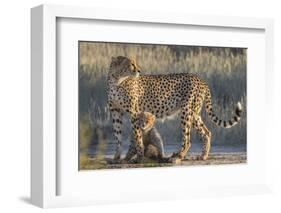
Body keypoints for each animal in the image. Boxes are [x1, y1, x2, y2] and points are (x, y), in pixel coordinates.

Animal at [106, 55, 242, 162]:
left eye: (135, 63)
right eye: (131, 64)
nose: (139, 70)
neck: (116, 80)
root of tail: (199, 78)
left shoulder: (134, 112)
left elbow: (137, 135)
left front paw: (138, 156)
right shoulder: (115, 111)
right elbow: (117, 135)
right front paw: (117, 157)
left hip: (186, 111)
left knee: (187, 138)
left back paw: (178, 156)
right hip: (194, 113)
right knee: (206, 132)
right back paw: (203, 156)